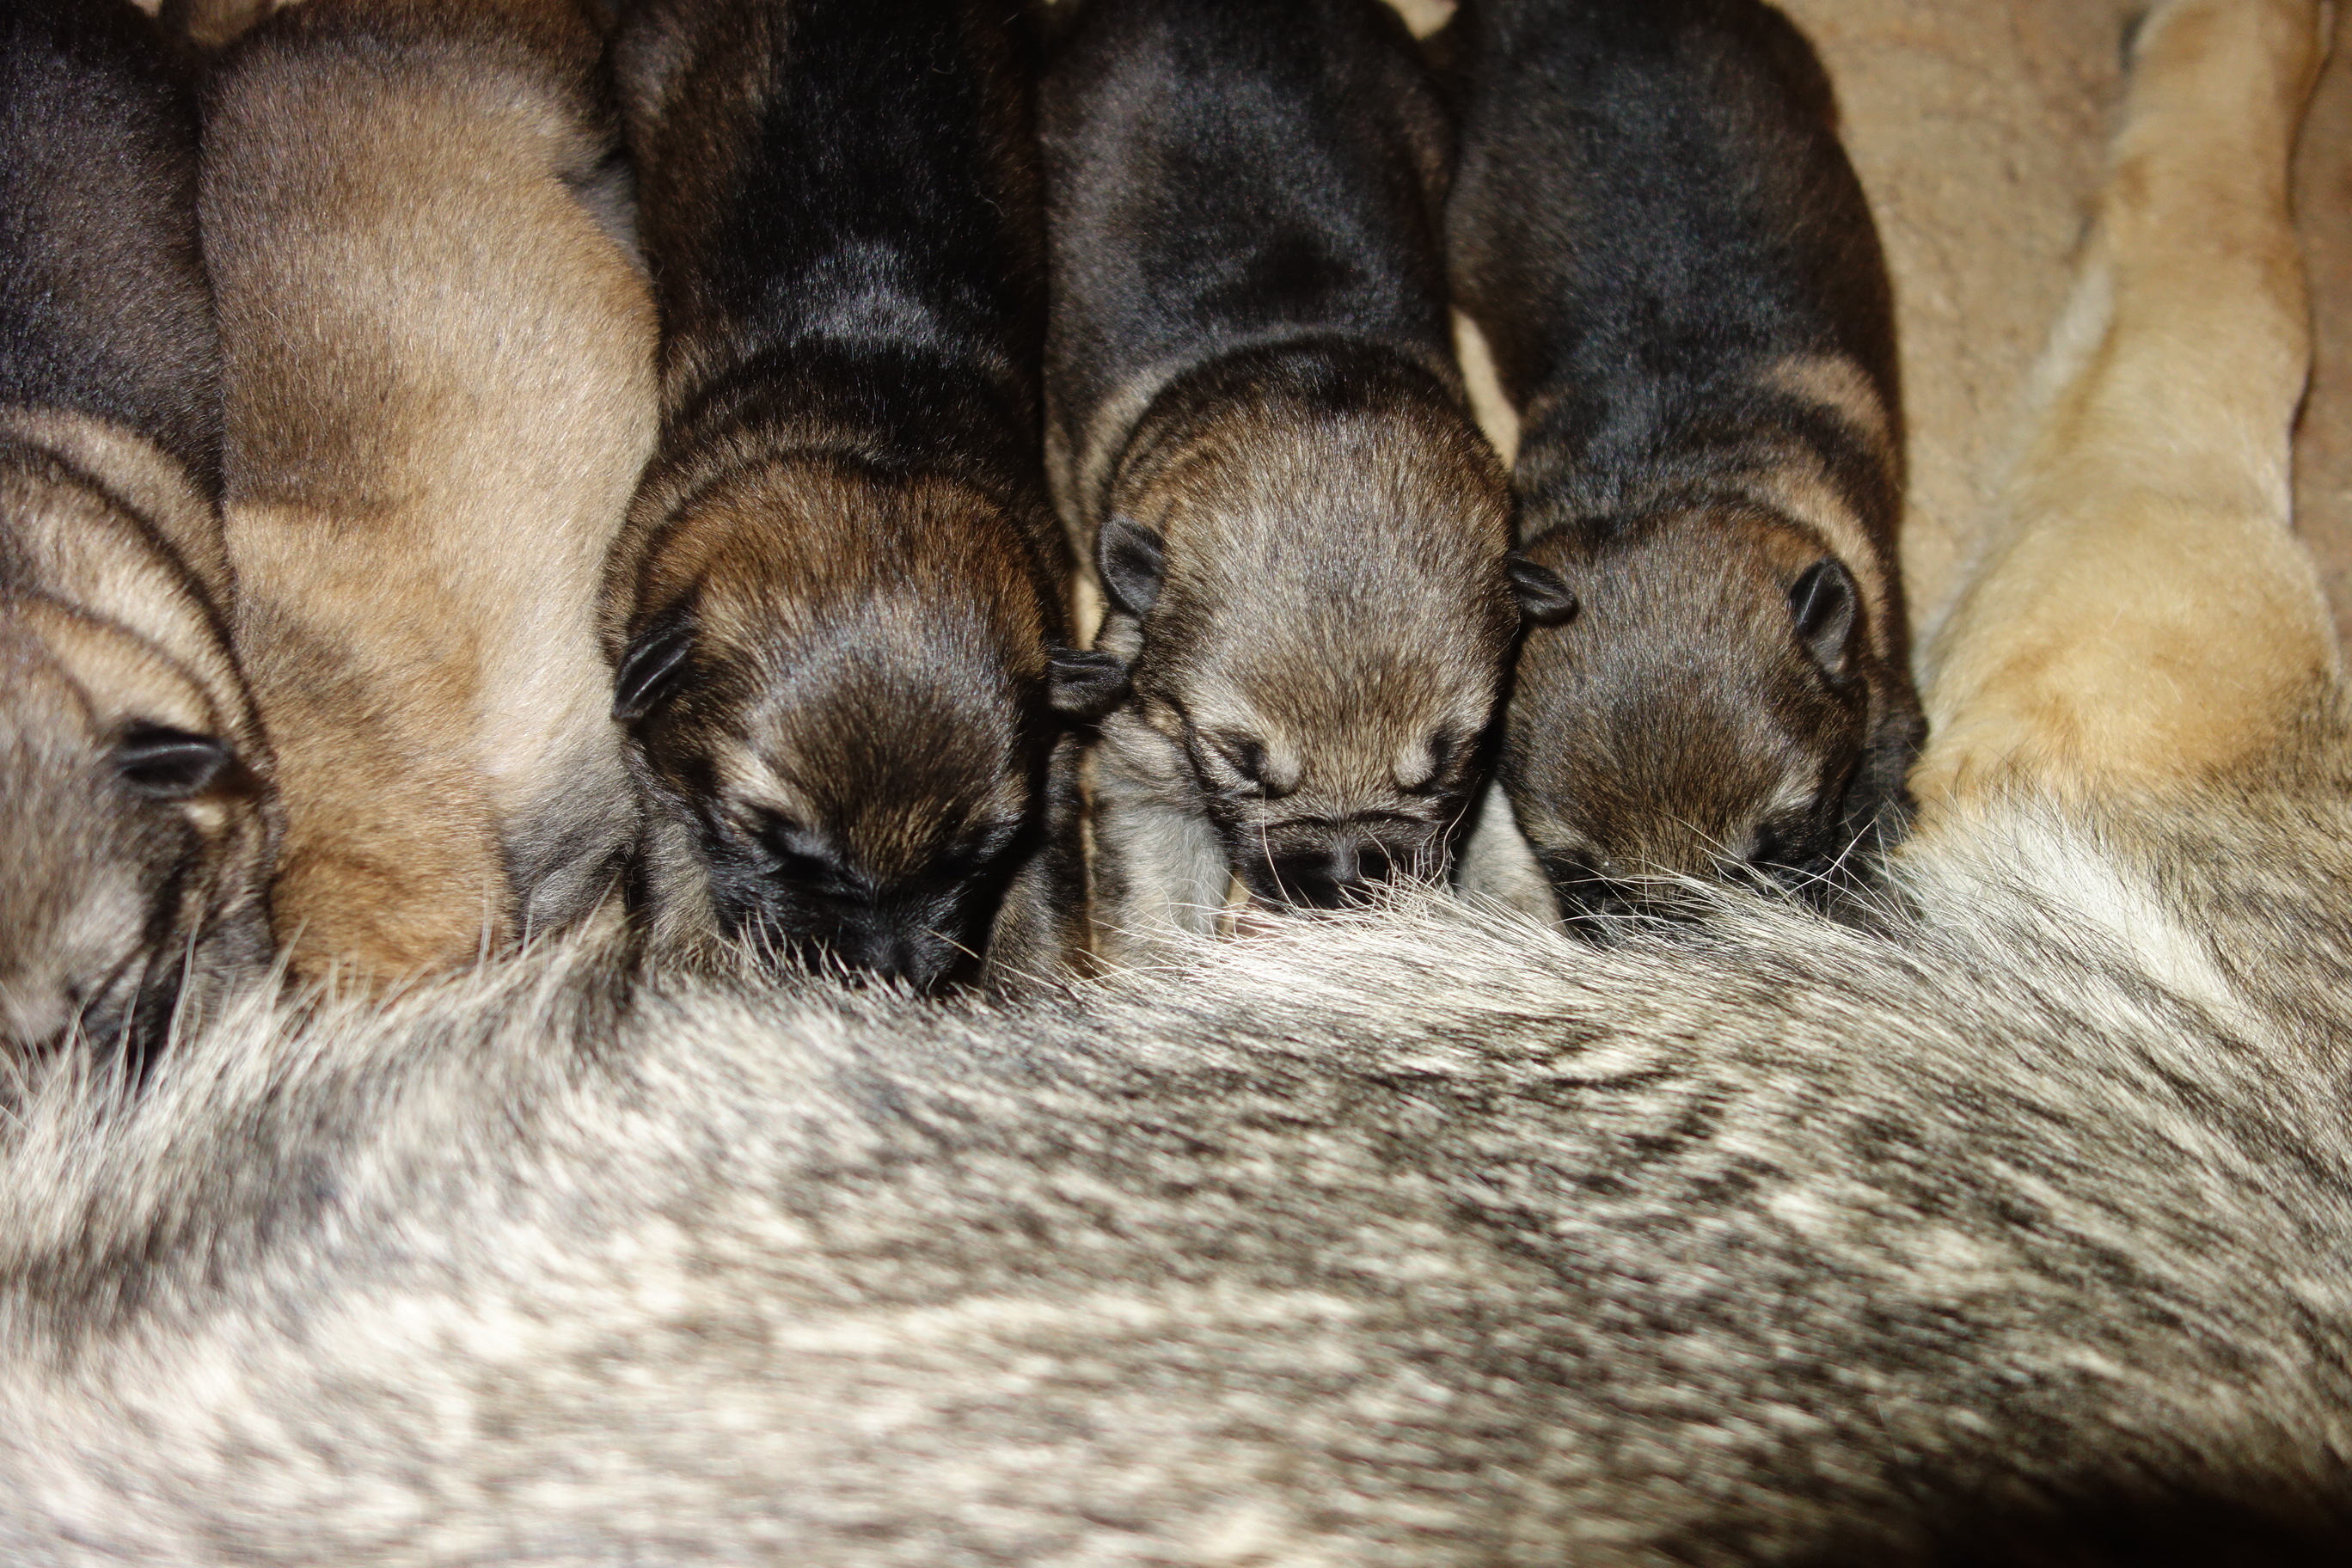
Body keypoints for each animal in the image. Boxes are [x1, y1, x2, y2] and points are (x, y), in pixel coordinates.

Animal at [605, 0, 1119, 993]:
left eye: (976, 855)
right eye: (782, 848)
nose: (892, 981)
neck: (874, 430)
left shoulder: (1051, 760)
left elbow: (1048, 888)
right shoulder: (649, 734)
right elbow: (678, 859)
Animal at [1041, 0, 1578, 965]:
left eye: (1448, 761)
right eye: (1244, 764)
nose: (1349, 881)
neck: (1294, 349)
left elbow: (1503, 851)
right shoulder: (1142, 761)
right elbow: (1158, 909)